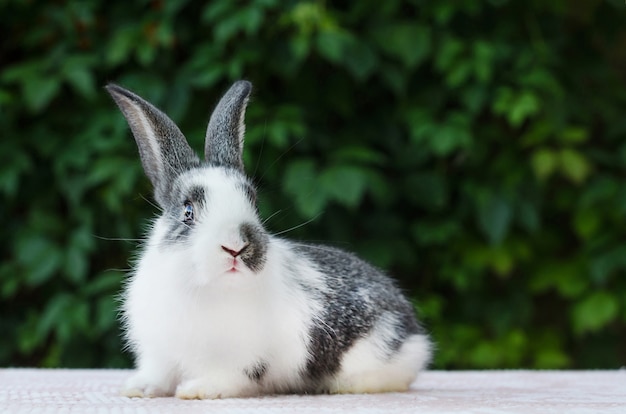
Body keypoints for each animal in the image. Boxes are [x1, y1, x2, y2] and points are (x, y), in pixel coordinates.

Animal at [106, 79, 428, 400]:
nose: (236, 248)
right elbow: (158, 374)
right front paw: (137, 389)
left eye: (254, 204)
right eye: (188, 212)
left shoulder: (240, 361)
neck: (207, 288)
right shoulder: (159, 355)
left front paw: (197, 390)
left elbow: (227, 378)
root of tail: (416, 335)